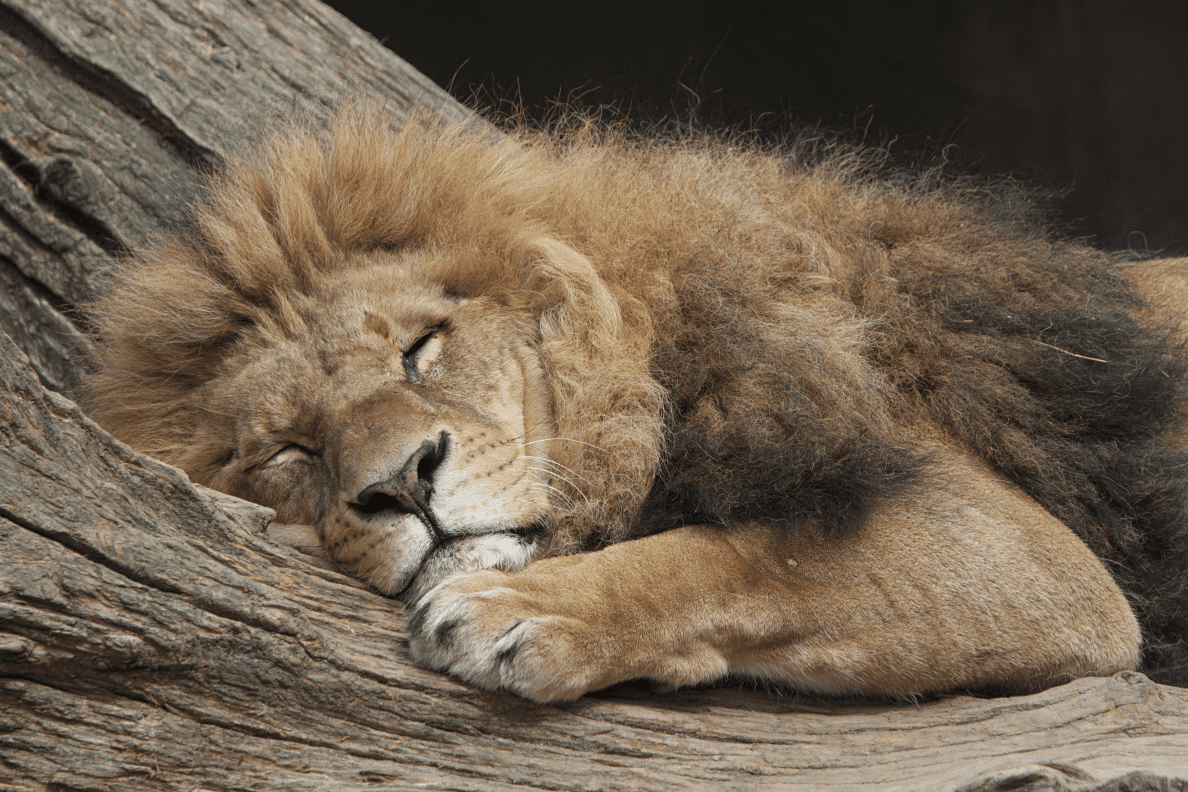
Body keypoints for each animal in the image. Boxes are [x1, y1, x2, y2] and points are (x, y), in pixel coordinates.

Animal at [84, 105, 1188, 702]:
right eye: (289, 451)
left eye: (418, 350)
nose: (402, 483)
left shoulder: (1022, 551)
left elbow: (737, 558)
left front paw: (525, 607)